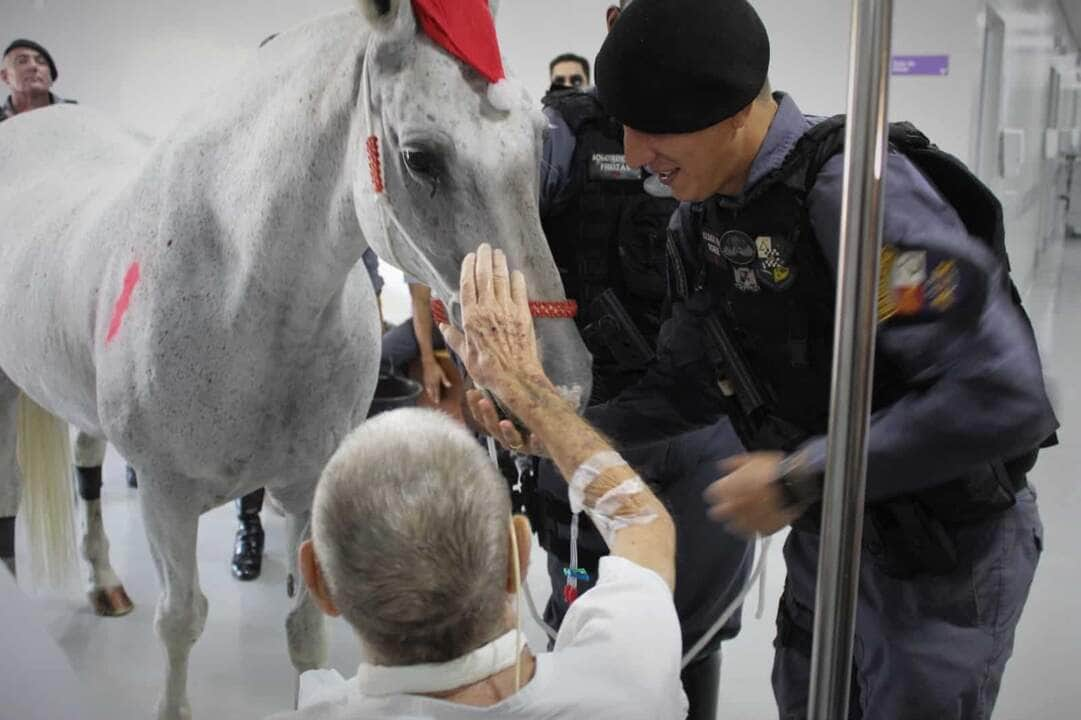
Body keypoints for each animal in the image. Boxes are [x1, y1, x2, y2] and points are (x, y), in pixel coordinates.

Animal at [0, 1, 592, 713]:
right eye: (420, 159)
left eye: (536, 141)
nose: (561, 388)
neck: (237, 296)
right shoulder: (165, 497)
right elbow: (180, 621)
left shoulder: (310, 484)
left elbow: (305, 628)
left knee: (86, 467)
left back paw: (103, 581)